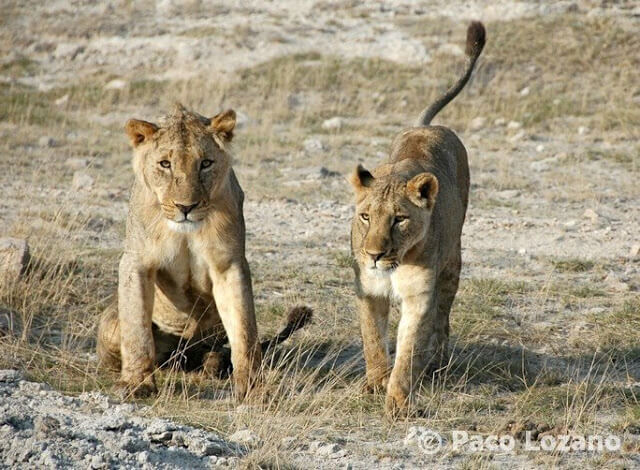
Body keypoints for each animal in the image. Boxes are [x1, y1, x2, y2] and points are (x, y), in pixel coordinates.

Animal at [95, 104, 312, 398]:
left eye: (206, 163)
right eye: (165, 164)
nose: (186, 207)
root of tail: (183, 353)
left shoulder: (228, 264)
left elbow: (244, 329)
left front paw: (252, 388)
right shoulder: (136, 261)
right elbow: (136, 330)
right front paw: (136, 383)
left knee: (218, 350)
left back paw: (213, 364)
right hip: (113, 327)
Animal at [350, 21, 484, 414]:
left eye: (399, 219)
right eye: (366, 217)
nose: (374, 254)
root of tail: (427, 126)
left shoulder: (419, 296)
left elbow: (408, 348)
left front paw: (397, 400)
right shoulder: (368, 289)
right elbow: (372, 340)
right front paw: (375, 382)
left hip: (453, 261)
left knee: (443, 318)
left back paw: (436, 361)